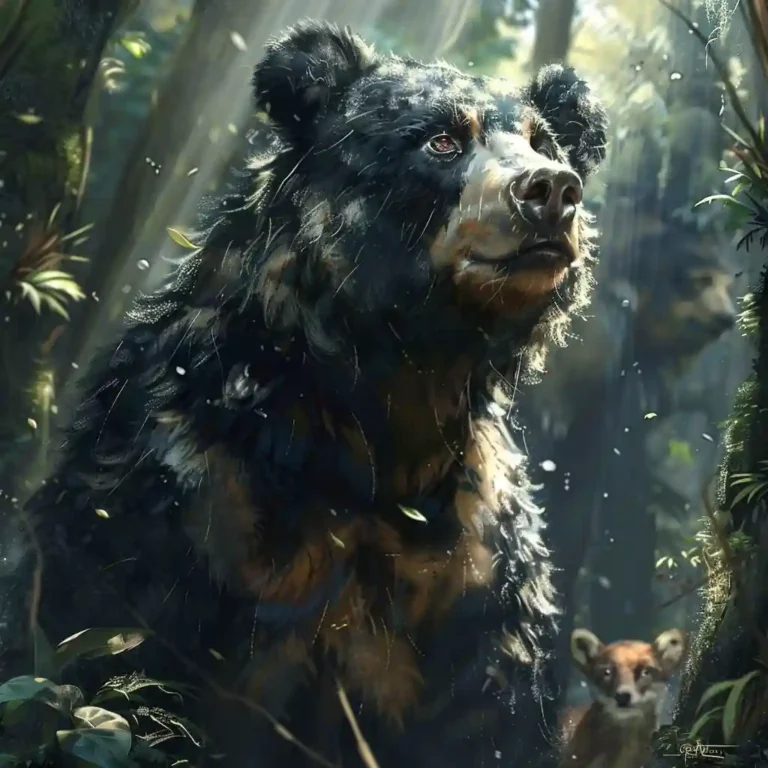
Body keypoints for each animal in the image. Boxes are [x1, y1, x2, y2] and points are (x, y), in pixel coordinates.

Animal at [12, 20, 608, 768]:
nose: (552, 190)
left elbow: (487, 711)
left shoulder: (473, 567)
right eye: (441, 139)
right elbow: (108, 644)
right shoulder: (186, 492)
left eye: (543, 142)